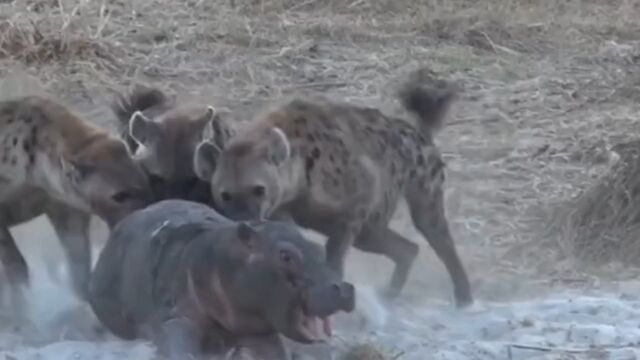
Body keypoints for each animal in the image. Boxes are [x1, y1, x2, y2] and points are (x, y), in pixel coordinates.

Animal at [88, 200, 356, 360]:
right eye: (285, 255)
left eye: (319, 249)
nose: (343, 287)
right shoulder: (175, 317)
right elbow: (181, 349)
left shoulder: (260, 334)